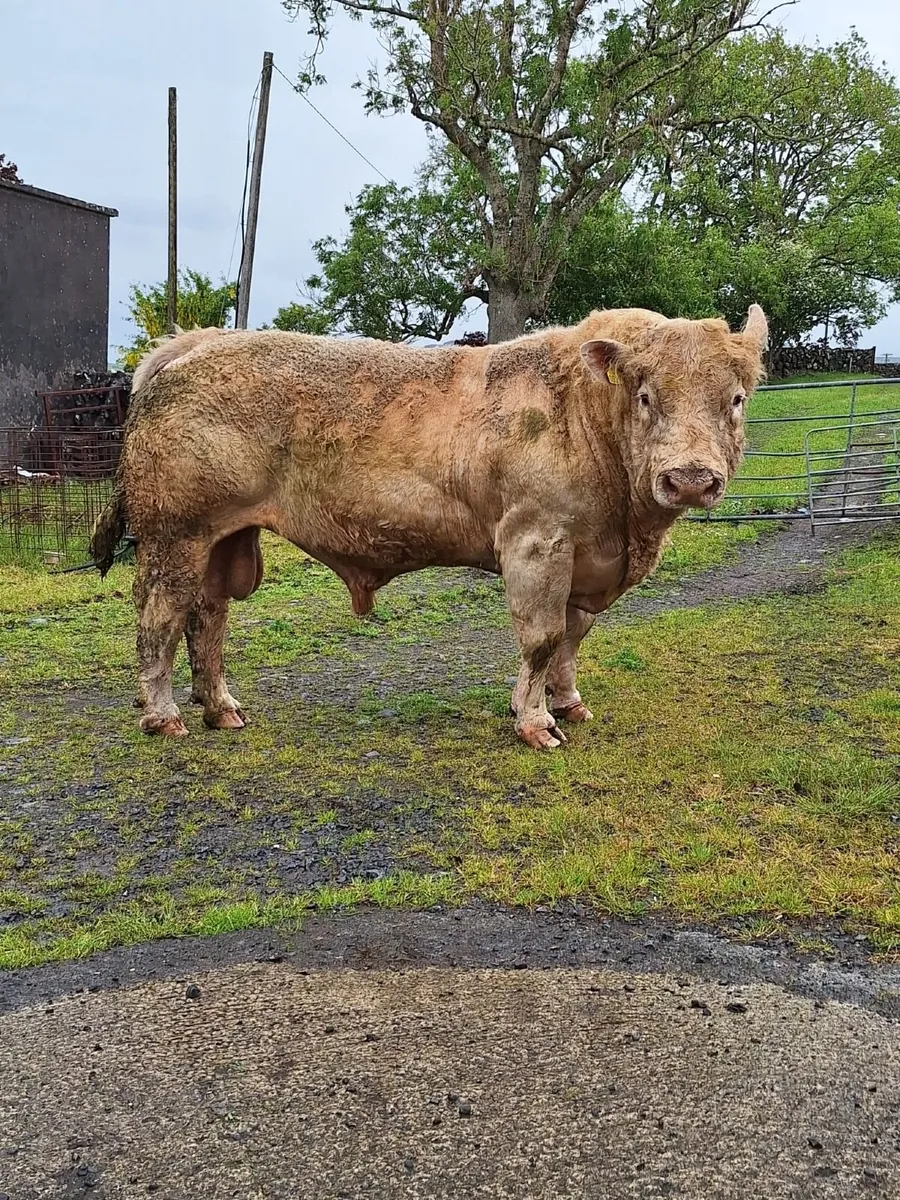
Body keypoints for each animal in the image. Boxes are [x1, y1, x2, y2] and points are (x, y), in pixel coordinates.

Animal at [91, 305, 768, 750]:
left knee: (207, 617)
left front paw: (568, 704)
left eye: (735, 399)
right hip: (174, 534)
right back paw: (162, 715)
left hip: (222, 539)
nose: (690, 478)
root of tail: (192, 345)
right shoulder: (537, 541)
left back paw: (221, 707)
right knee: (160, 617)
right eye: (647, 396)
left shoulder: (587, 559)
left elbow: (573, 637)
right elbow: (543, 638)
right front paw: (534, 723)